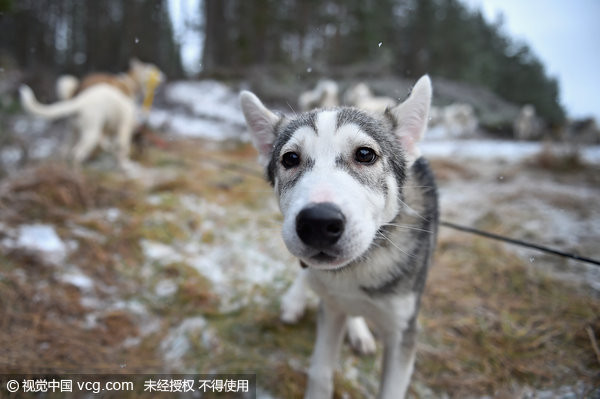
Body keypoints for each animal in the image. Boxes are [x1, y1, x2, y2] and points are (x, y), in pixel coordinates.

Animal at [19, 58, 163, 165]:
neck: (130, 83)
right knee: (77, 153)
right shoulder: (124, 127)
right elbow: (122, 148)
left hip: (72, 131)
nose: (162, 76)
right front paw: (125, 164)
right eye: (150, 69)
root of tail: (80, 101)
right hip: (91, 132)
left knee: (65, 151)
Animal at [240, 76, 440, 399]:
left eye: (365, 154)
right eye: (290, 158)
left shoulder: (404, 331)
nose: (318, 222)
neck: (356, 269)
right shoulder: (331, 310)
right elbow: (320, 372)